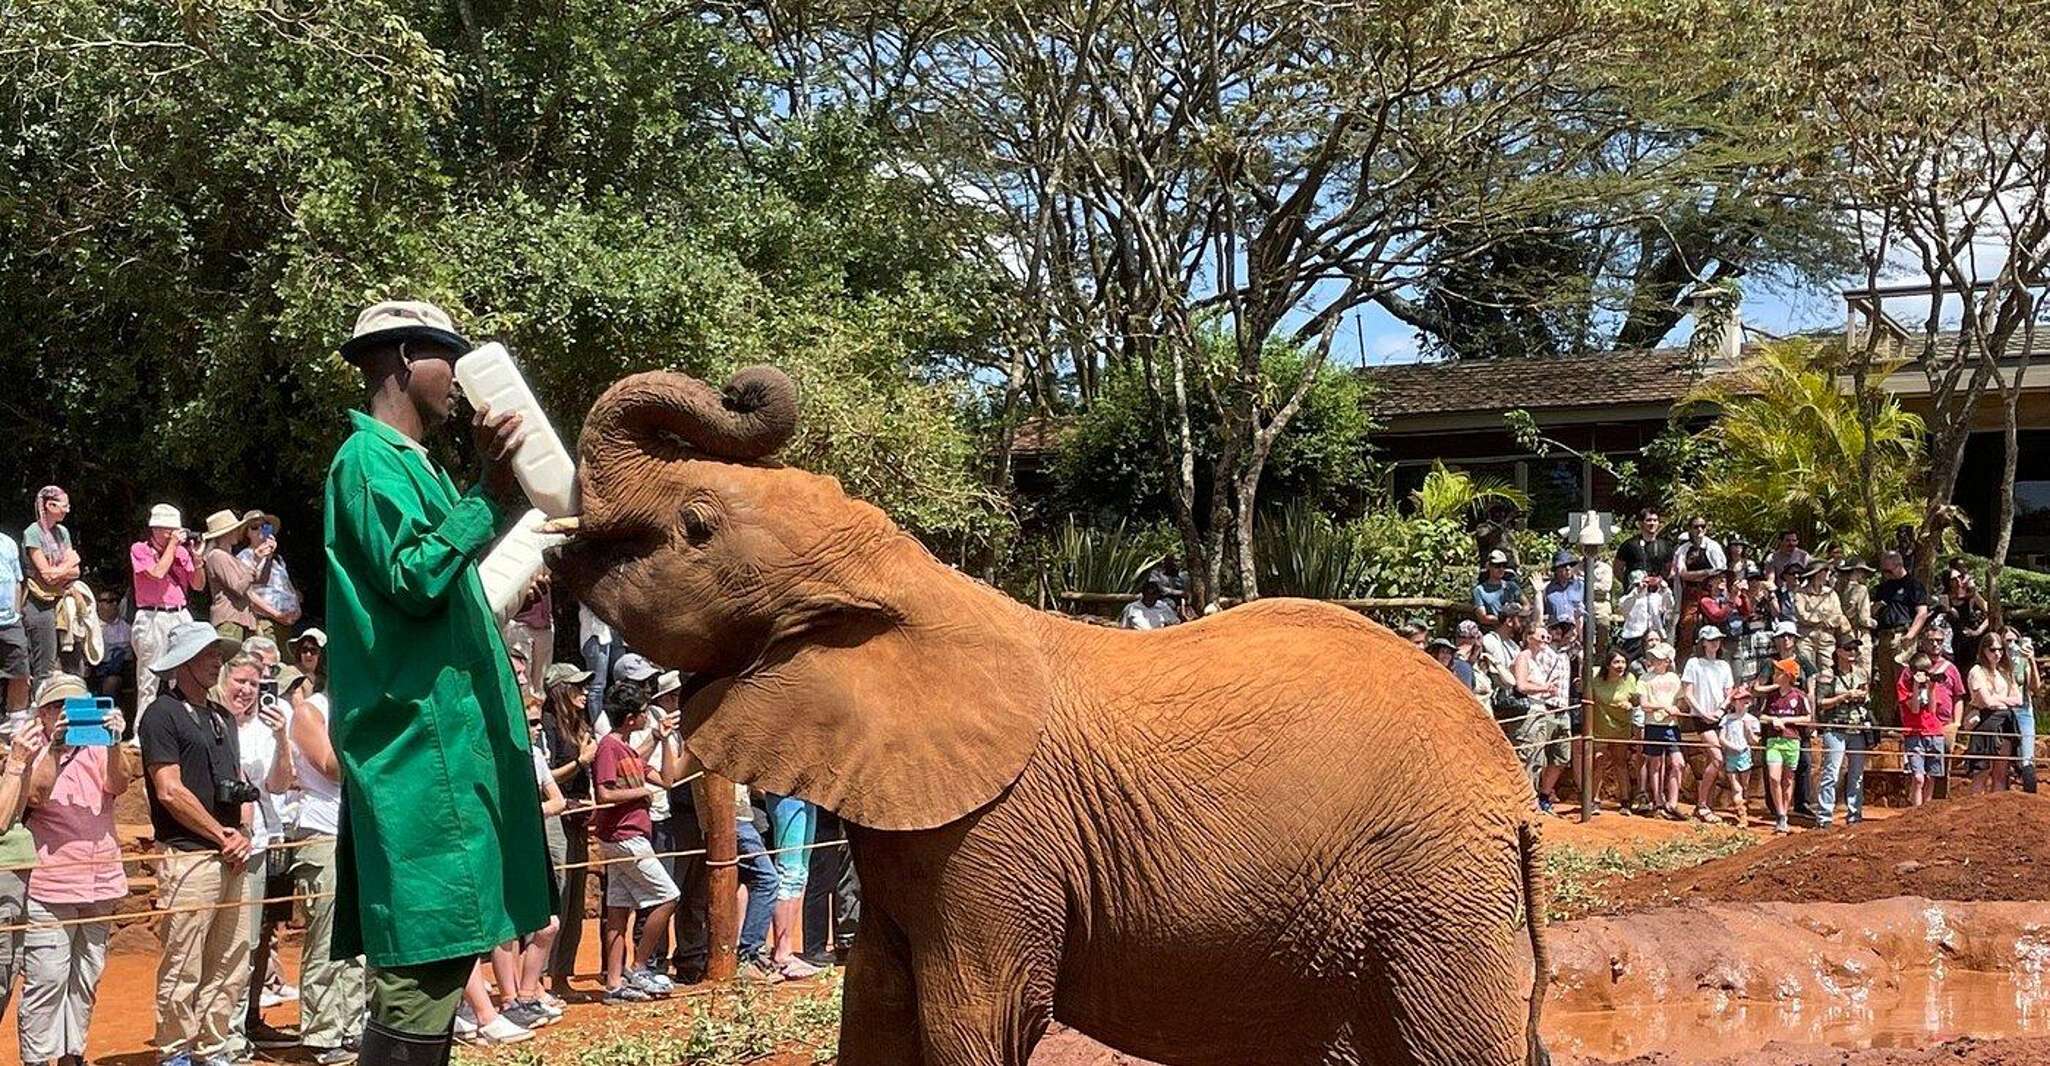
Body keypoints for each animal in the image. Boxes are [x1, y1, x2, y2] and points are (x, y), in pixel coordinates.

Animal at [547, 365, 1553, 1066]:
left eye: (696, 527)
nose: (741, 386)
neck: (907, 579)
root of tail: (1517, 793)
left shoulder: (997, 838)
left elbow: (979, 1017)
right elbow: (874, 1005)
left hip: (1431, 894)